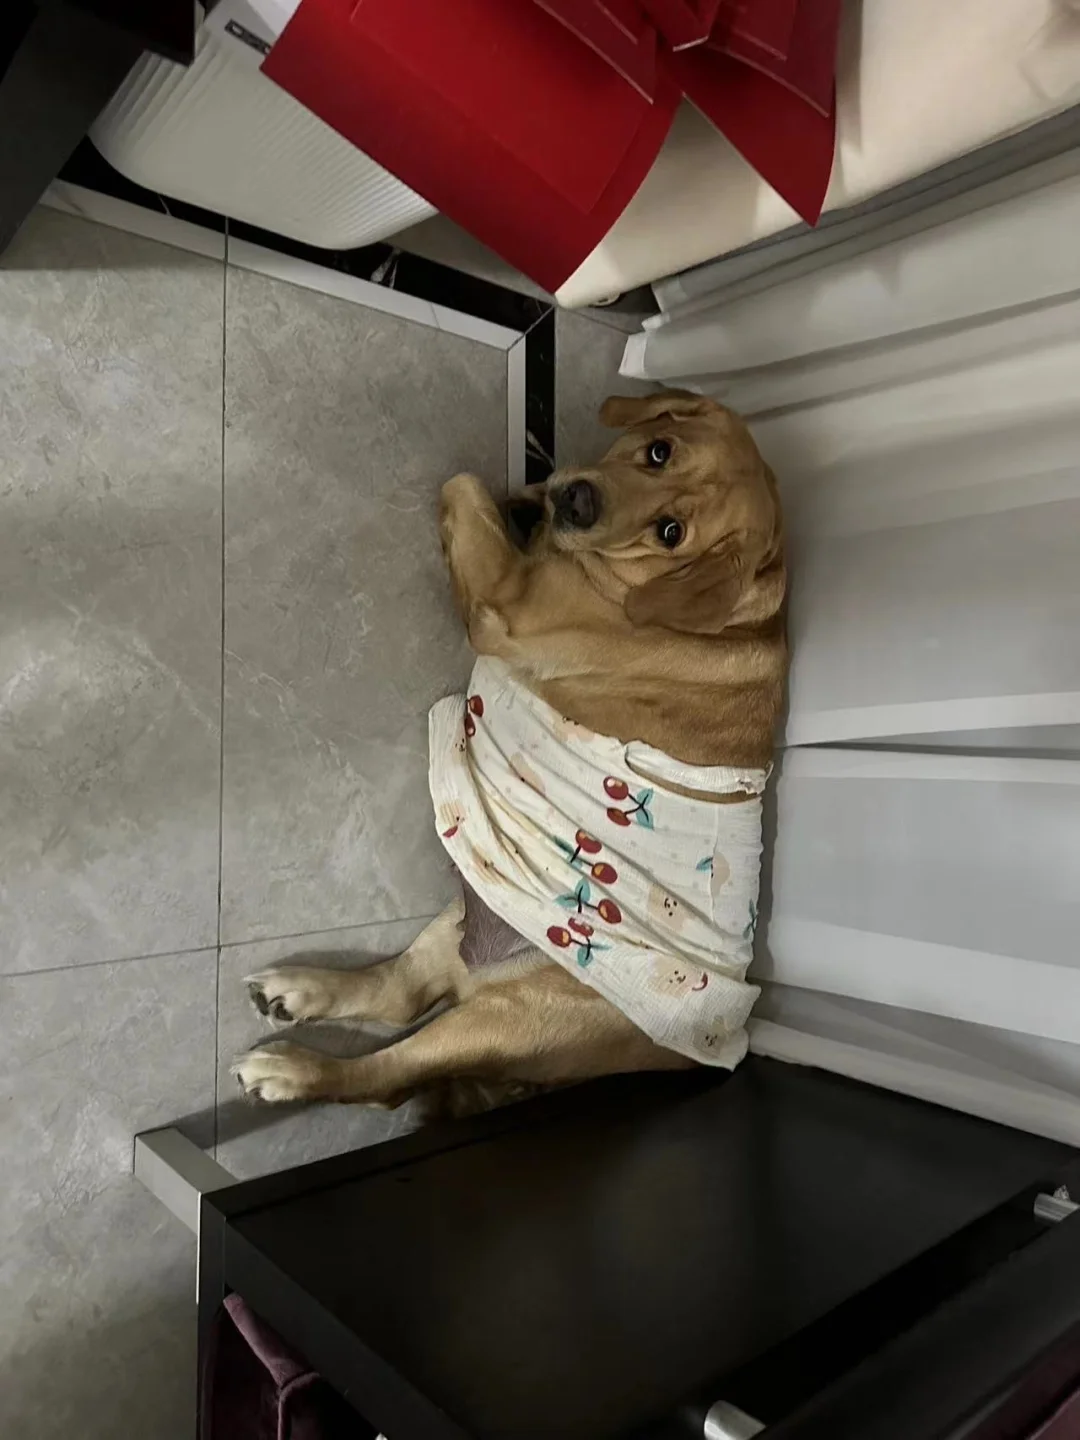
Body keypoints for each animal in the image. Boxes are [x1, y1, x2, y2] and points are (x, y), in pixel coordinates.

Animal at [234, 391, 787, 1111]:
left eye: (672, 532)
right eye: (658, 451)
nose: (577, 501)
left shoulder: (505, 601)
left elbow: (462, 482)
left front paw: (516, 502)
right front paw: (528, 497)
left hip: (502, 1016)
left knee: (386, 1075)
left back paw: (295, 1071)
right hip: (474, 911)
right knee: (399, 994)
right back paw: (303, 990)